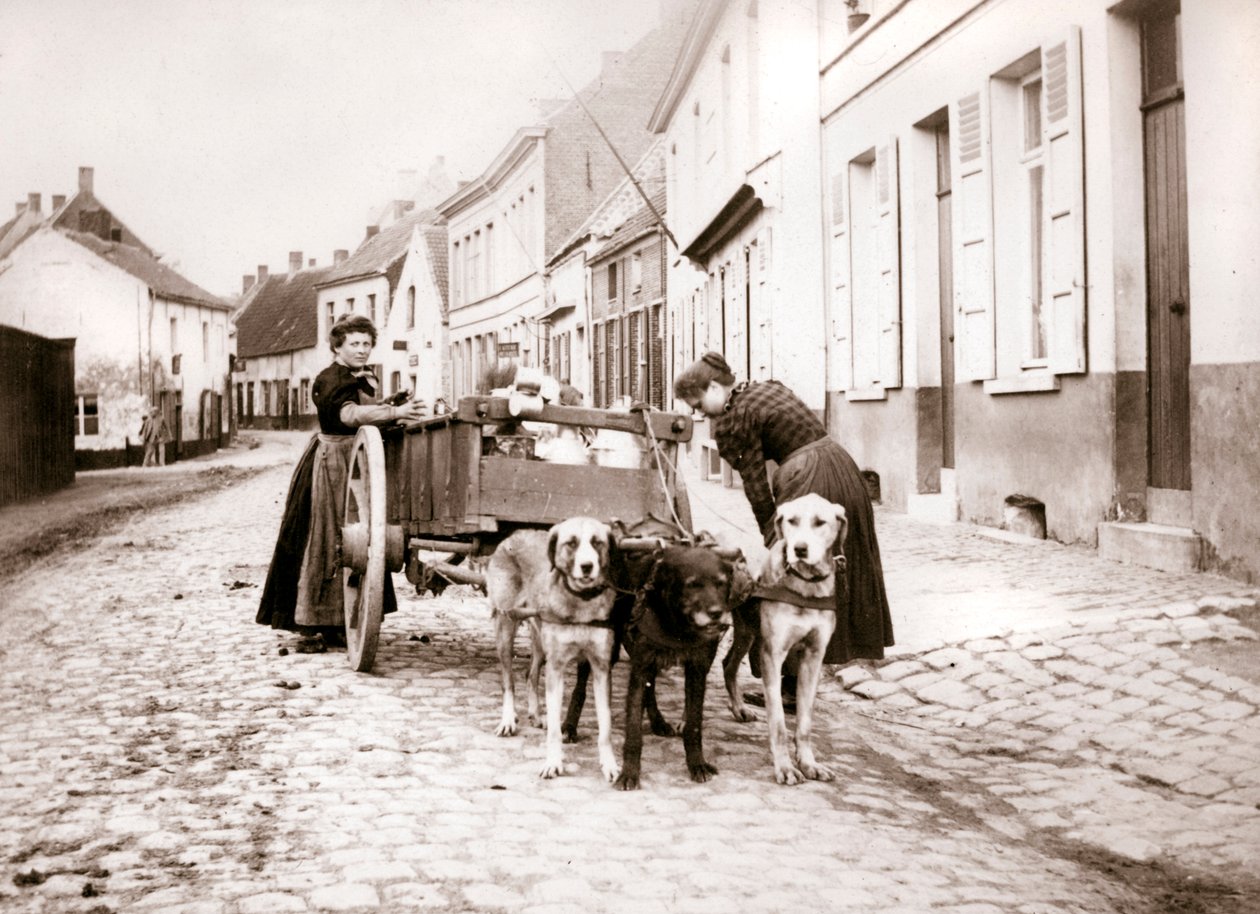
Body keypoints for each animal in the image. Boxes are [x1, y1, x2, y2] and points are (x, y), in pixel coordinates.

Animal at [483, 516, 617, 781]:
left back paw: (535, 714)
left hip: (539, 636)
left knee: (530, 673)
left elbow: (605, 727)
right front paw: (553, 763)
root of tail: (514, 535)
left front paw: (609, 764)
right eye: (571, 543)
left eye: (597, 542)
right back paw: (508, 719)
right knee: (508, 679)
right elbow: (555, 729)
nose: (587, 566)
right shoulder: (556, 668)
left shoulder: (601, 668)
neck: (581, 603)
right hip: (505, 626)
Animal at [725, 491, 851, 786]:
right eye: (791, 521)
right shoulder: (772, 655)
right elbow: (779, 722)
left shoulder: (813, 657)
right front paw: (784, 767)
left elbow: (804, 722)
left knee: (728, 665)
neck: (805, 586)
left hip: (747, 630)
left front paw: (808, 763)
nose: (800, 549)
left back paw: (739, 709)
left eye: (820, 522)